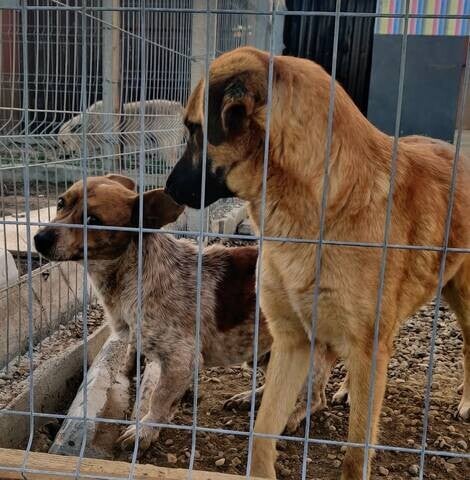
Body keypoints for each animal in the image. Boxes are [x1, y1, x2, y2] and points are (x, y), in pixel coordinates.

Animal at [33, 174, 336, 452]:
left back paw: (292, 416)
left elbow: (158, 398)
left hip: (309, 357)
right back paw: (251, 397)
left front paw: (144, 431)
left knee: (316, 398)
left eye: (93, 219)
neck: (134, 273)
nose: (39, 239)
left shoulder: (182, 360)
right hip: (262, 352)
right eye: (61, 203)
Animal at [165, 46, 470, 479]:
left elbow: (356, 452)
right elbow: (261, 433)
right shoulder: (294, 339)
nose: (167, 189)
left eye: (194, 130)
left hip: (461, 300)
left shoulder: (364, 342)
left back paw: (465, 400)